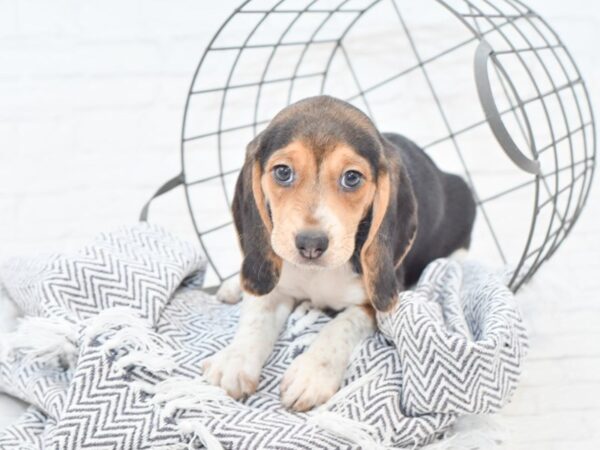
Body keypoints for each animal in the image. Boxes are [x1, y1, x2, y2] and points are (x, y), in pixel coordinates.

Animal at [204, 95, 476, 412]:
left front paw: (311, 373)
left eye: (352, 178)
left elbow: (339, 327)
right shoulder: (277, 284)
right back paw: (234, 285)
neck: (317, 276)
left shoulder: (376, 300)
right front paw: (235, 360)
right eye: (283, 172)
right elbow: (257, 316)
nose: (310, 244)